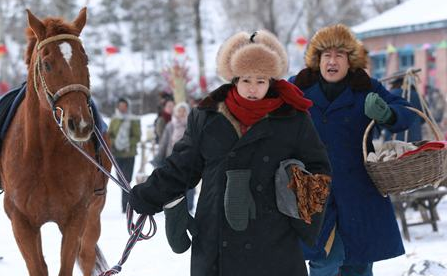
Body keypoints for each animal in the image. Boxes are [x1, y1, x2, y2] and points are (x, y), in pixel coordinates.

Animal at [0, 7, 111, 274]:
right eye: (47, 64)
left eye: (85, 59)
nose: (80, 123)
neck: (44, 156)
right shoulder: (21, 221)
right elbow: (38, 267)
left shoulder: (76, 217)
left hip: (94, 214)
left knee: (87, 255)